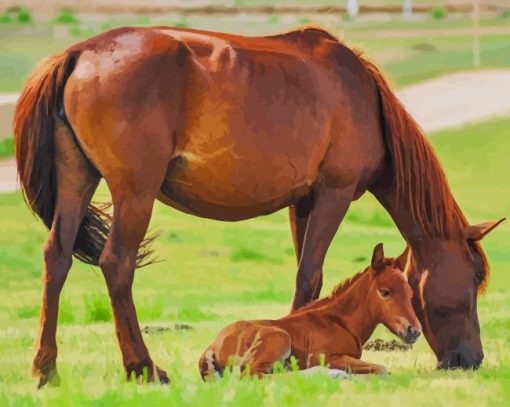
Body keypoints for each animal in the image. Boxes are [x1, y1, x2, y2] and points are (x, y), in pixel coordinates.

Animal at [200, 242, 422, 380]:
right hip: (279, 338)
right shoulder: (329, 357)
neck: (340, 322)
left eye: (410, 293)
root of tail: (212, 346)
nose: (414, 331)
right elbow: (381, 369)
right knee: (254, 375)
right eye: (385, 292)